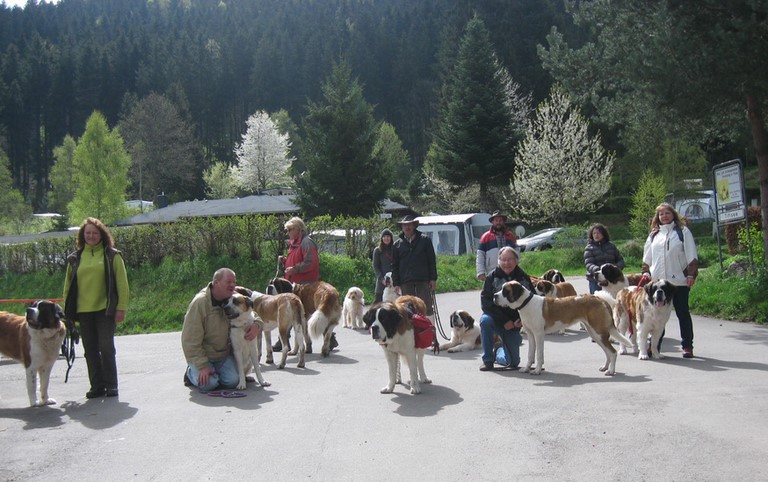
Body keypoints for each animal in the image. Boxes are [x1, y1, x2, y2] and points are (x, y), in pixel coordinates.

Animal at [494, 281, 633, 375]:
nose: (494, 295)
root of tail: (600, 299)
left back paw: (611, 371)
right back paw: (605, 367)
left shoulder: (539, 335)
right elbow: (530, 354)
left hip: (599, 332)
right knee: (607, 352)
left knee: (612, 352)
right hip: (595, 334)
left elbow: (538, 355)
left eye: (505, 291)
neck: (526, 303)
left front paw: (537, 370)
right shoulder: (531, 335)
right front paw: (527, 368)